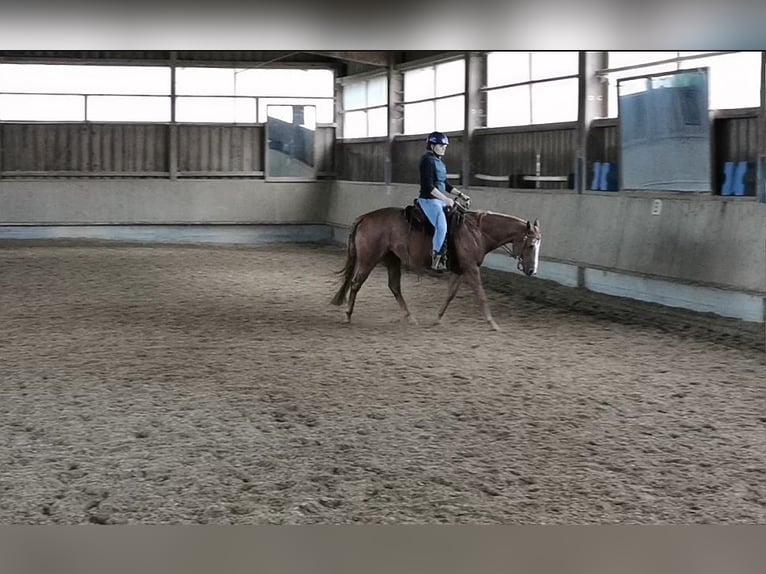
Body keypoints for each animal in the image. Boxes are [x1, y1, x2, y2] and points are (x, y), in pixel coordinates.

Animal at [330, 200, 541, 331]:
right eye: (531, 245)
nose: (532, 270)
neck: (477, 232)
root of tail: (364, 217)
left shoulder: (461, 269)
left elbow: (450, 294)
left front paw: (437, 318)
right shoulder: (471, 268)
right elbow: (481, 296)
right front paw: (493, 323)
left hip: (392, 259)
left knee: (394, 286)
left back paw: (410, 317)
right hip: (369, 259)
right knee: (356, 283)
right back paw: (348, 315)